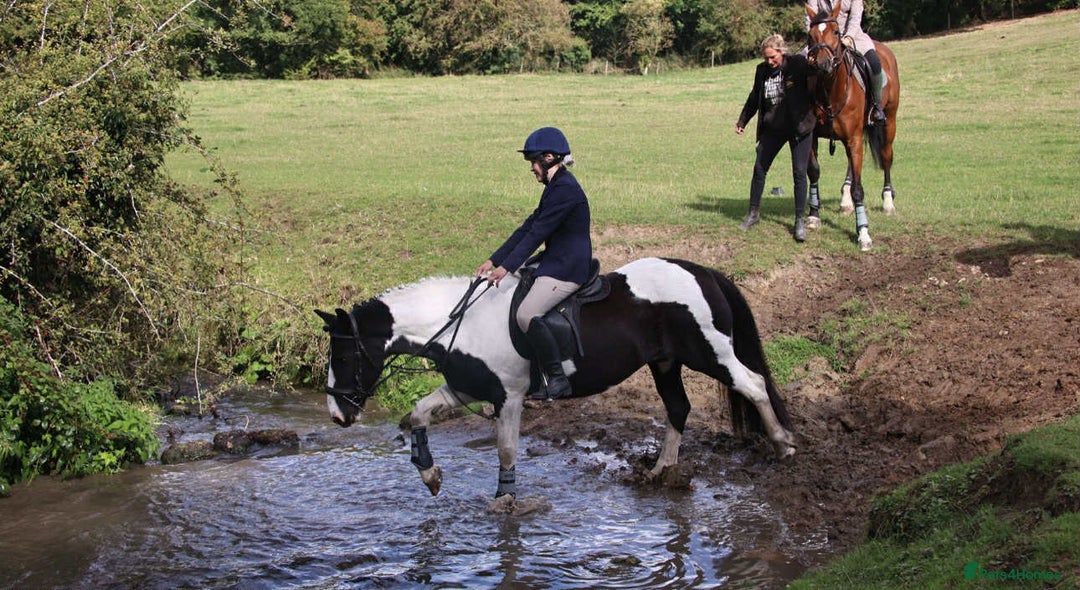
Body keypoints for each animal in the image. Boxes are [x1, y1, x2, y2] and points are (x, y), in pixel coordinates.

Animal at [316, 257, 796, 504]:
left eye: (345, 354)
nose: (337, 415)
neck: (462, 322)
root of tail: (701, 272)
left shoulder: (509, 396)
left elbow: (507, 451)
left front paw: (506, 504)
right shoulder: (467, 387)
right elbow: (417, 415)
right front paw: (429, 473)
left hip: (709, 353)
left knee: (752, 384)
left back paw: (783, 444)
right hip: (665, 363)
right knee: (678, 408)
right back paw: (662, 471)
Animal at [805, 1, 900, 252]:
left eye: (836, 32)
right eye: (810, 35)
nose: (823, 65)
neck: (830, 90)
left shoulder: (855, 138)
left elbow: (860, 189)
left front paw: (863, 233)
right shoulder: (812, 136)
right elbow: (814, 172)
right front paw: (814, 215)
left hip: (889, 122)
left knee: (887, 157)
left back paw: (888, 202)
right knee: (851, 166)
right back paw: (845, 201)